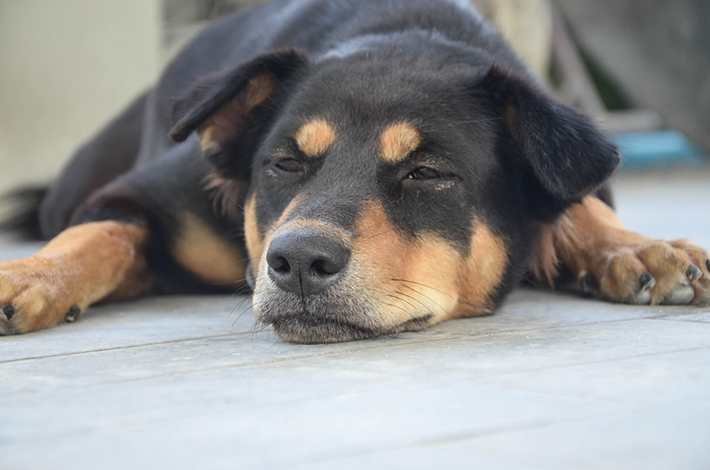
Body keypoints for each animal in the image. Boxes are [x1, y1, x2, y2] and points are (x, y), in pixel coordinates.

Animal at [1, 0, 710, 342]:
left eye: (426, 173)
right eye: (284, 164)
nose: (296, 263)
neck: (402, 32)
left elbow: (579, 205)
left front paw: (640, 249)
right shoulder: (134, 197)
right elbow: (99, 234)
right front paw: (28, 276)